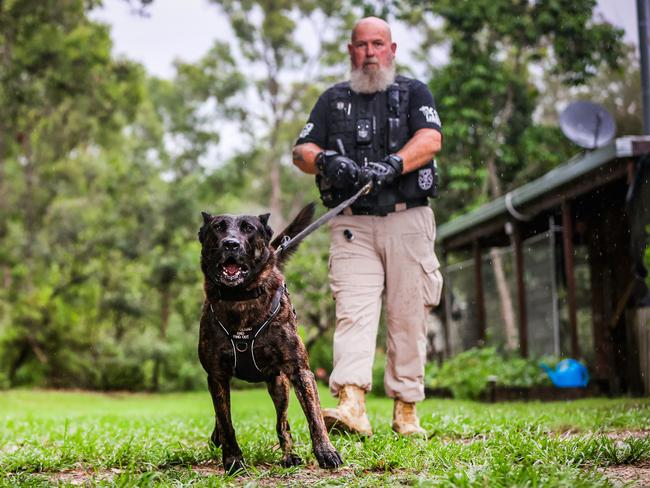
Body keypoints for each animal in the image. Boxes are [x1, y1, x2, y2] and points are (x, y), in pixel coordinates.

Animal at [196, 204, 340, 474]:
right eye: (218, 228)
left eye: (248, 228)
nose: (230, 244)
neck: (240, 297)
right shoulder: (217, 376)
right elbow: (226, 421)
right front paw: (233, 460)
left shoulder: (300, 371)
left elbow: (315, 417)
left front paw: (326, 452)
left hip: (279, 386)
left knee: (283, 425)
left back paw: (289, 456)